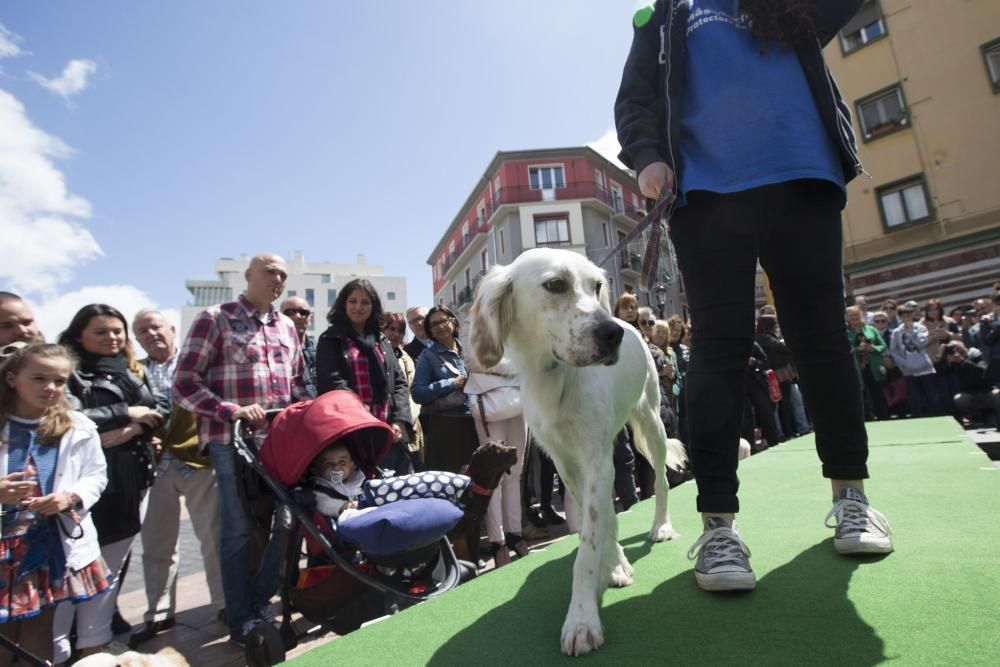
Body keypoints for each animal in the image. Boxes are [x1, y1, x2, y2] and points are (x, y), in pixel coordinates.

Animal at [470, 247, 688, 656]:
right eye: (556, 285)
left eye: (597, 286)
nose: (613, 332)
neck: (555, 376)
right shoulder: (567, 463)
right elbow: (599, 524)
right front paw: (615, 565)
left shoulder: (596, 458)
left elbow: (587, 547)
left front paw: (582, 619)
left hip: (651, 420)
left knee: (662, 481)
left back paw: (661, 526)